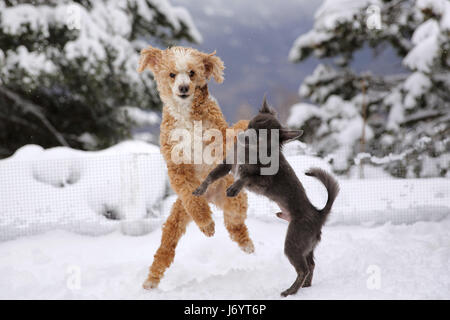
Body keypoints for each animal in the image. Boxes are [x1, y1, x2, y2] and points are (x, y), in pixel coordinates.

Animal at [139, 45, 340, 298]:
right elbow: (204, 179)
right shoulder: (204, 166)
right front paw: (201, 190)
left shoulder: (249, 170)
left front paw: (235, 185)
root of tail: (318, 213)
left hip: (285, 236)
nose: (184, 88)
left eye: (192, 73)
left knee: (290, 259)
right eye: (172, 75)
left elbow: (245, 176)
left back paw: (279, 278)